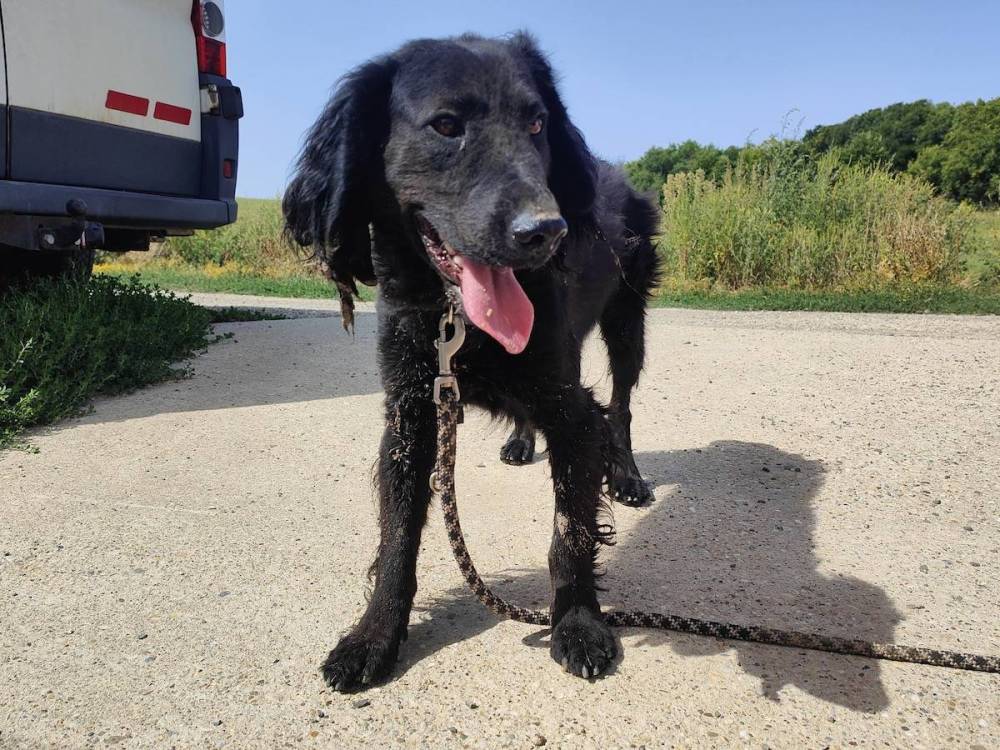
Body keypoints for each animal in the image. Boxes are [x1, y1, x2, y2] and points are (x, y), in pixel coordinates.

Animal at [283, 32, 660, 690]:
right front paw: (374, 637)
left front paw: (578, 624)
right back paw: (520, 442)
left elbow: (572, 531)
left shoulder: (572, 410)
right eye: (445, 125)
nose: (548, 231)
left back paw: (628, 476)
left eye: (538, 122)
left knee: (622, 406)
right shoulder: (411, 413)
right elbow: (397, 540)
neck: (454, 317)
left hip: (626, 324)